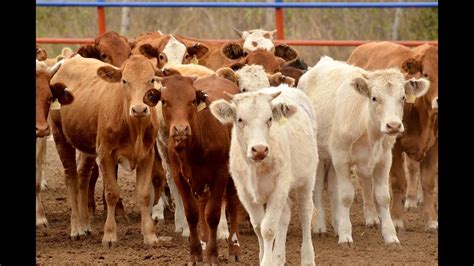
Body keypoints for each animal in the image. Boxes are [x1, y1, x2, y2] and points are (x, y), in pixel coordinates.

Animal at [49, 55, 162, 245]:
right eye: (124, 81)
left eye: (151, 79)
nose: (139, 109)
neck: (134, 127)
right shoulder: (106, 154)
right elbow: (111, 193)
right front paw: (109, 235)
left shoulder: (147, 156)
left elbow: (145, 194)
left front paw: (150, 235)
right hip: (60, 137)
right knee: (71, 177)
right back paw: (76, 228)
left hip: (87, 146)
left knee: (83, 175)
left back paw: (85, 224)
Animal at [156, 74, 241, 262]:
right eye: (164, 101)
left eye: (192, 100)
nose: (181, 130)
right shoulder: (179, 175)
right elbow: (192, 213)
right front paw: (196, 253)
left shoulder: (220, 173)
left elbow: (213, 214)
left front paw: (212, 255)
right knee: (202, 204)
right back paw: (204, 240)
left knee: (232, 202)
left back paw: (234, 247)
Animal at [211, 85, 318, 266]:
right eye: (240, 119)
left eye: (269, 119)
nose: (259, 149)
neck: (256, 168)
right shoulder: (245, 193)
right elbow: (258, 227)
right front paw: (266, 258)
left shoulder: (279, 187)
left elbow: (267, 229)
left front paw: (267, 261)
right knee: (285, 215)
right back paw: (278, 257)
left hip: (307, 179)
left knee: (305, 212)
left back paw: (308, 258)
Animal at [300, 56, 430, 247]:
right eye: (374, 98)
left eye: (403, 97)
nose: (393, 125)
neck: (368, 131)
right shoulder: (341, 158)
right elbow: (346, 196)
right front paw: (346, 236)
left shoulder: (384, 160)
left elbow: (383, 197)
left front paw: (391, 236)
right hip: (319, 154)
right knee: (316, 187)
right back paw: (320, 227)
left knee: (332, 187)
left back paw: (337, 224)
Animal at [346, 41, 438, 231]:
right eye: (426, 74)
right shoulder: (394, 147)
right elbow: (397, 181)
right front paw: (396, 219)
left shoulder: (434, 145)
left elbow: (428, 182)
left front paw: (432, 221)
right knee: (365, 178)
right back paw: (373, 216)